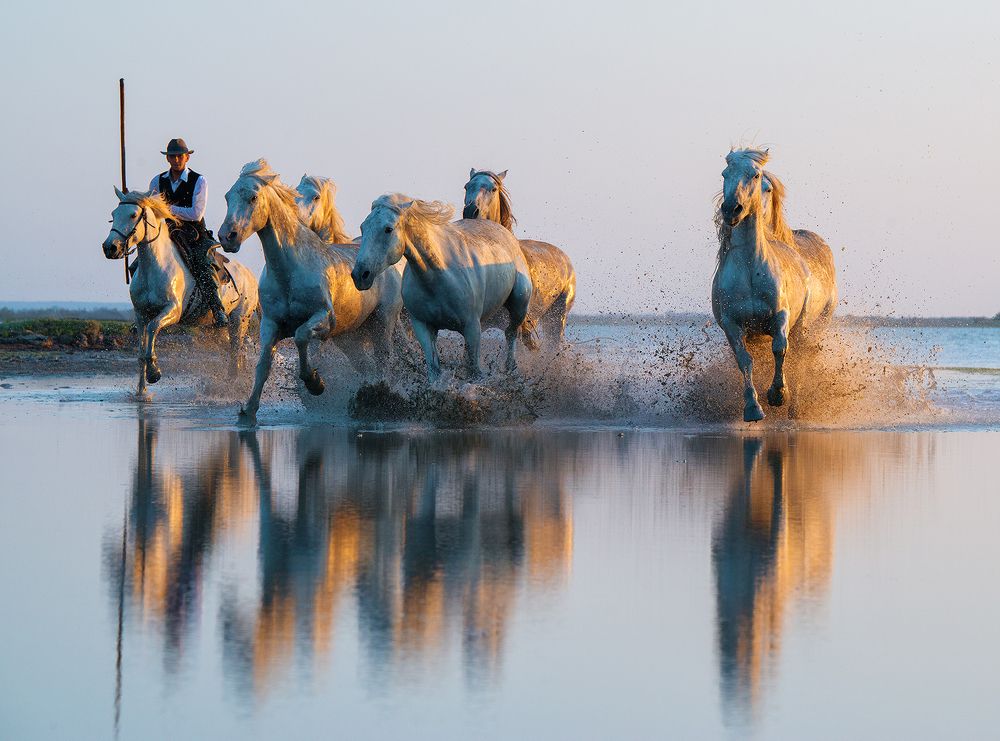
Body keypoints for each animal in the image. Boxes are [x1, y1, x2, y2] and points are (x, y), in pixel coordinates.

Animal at [101, 188, 260, 399]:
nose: (110, 247)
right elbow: (141, 352)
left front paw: (154, 373)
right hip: (216, 329)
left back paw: (234, 386)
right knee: (235, 351)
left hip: (239, 321)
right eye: (113, 214)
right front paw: (141, 392)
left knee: (236, 351)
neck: (154, 267)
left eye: (133, 215)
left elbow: (153, 328)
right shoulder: (141, 314)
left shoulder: (172, 311)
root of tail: (251, 276)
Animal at [218, 160, 403, 425]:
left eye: (253, 197)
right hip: (351, 337)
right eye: (227, 196)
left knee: (383, 361)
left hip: (382, 323)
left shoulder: (323, 318)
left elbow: (301, 337)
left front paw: (315, 383)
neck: (290, 272)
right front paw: (248, 411)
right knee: (366, 365)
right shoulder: (270, 323)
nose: (227, 237)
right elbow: (263, 365)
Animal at [351, 194, 532, 382]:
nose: (360, 275)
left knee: (511, 332)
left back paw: (510, 368)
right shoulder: (423, 327)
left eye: (388, 229)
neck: (438, 277)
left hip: (519, 304)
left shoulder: (472, 327)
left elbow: (475, 371)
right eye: (363, 227)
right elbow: (435, 371)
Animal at [463, 169, 576, 349]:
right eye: (467, 186)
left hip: (557, 319)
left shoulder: (517, 326)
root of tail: (566, 259)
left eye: (493, 189)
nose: (470, 211)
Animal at [712, 148, 837, 422]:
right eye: (724, 174)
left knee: (799, 360)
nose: (731, 209)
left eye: (756, 175)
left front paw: (778, 394)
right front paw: (753, 408)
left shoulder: (781, 316)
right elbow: (744, 361)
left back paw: (794, 408)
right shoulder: (732, 325)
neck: (750, 269)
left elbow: (780, 349)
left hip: (808, 325)